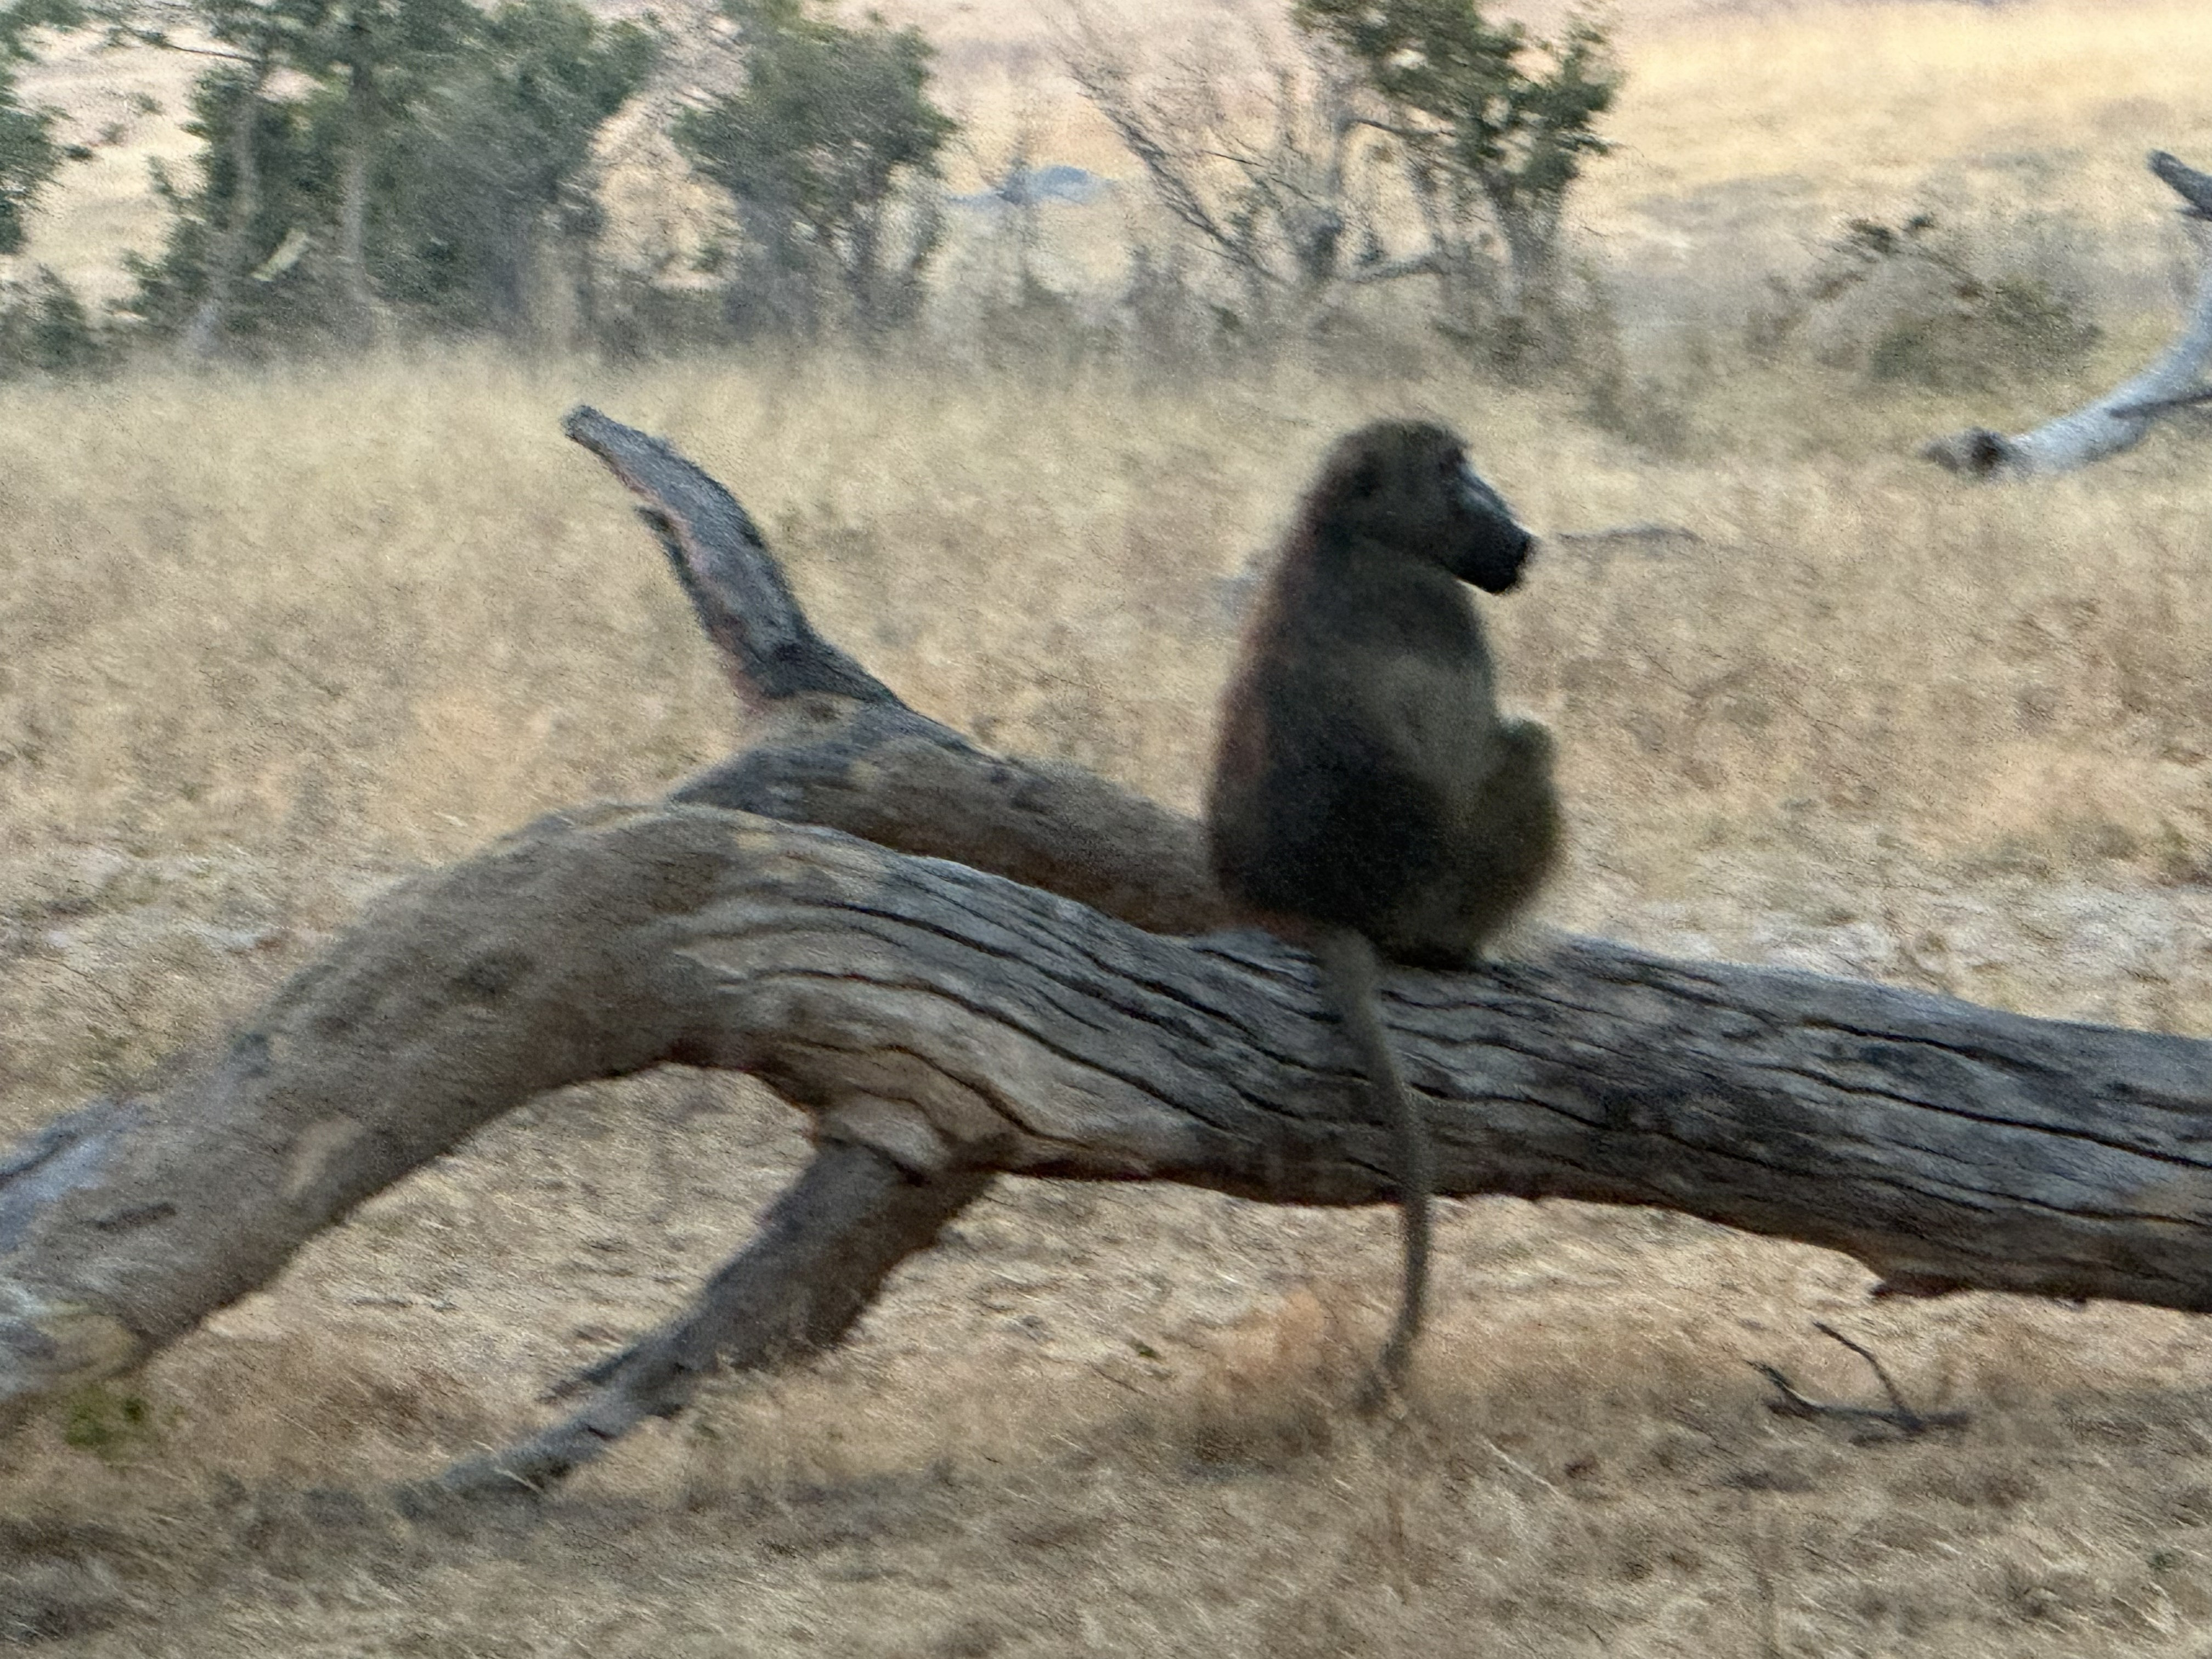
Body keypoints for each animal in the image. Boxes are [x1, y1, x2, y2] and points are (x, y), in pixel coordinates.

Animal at [1205, 418, 1561, 1399]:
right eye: (1453, 473)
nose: (1519, 533)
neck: (1345, 531)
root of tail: (1313, 908)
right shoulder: (1445, 610)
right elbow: (1480, 747)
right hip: (1433, 897)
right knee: (1530, 746)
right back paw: (1460, 951)